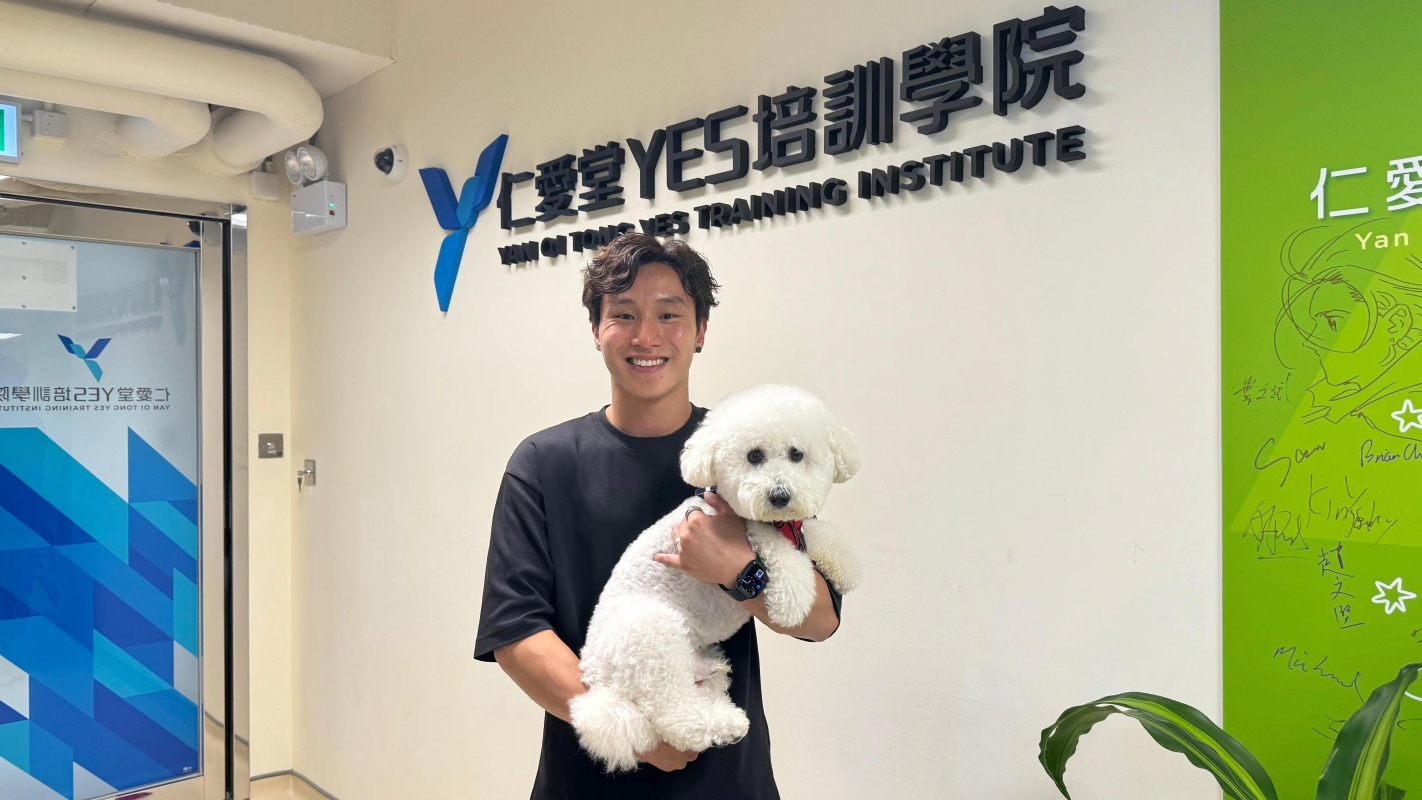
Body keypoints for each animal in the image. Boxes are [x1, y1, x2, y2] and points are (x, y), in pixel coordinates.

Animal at [569, 384, 862, 772]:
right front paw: (792, 599)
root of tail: (595, 678)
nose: (779, 496)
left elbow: (813, 534)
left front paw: (846, 562)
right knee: (673, 715)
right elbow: (777, 548)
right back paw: (709, 727)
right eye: (754, 456)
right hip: (650, 632)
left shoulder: (792, 527)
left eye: (797, 454)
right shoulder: (759, 532)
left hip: (703, 659)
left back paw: (724, 721)